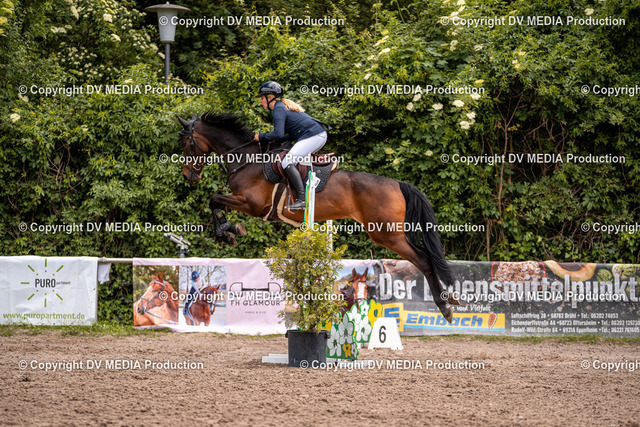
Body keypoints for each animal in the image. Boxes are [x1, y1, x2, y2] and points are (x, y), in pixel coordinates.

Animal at [176, 112, 460, 323]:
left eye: (187, 145)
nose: (189, 176)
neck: (247, 158)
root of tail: (398, 184)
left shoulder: (252, 204)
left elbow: (214, 199)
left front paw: (228, 231)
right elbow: (215, 201)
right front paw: (230, 231)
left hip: (386, 233)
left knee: (424, 260)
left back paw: (445, 307)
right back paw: (449, 302)